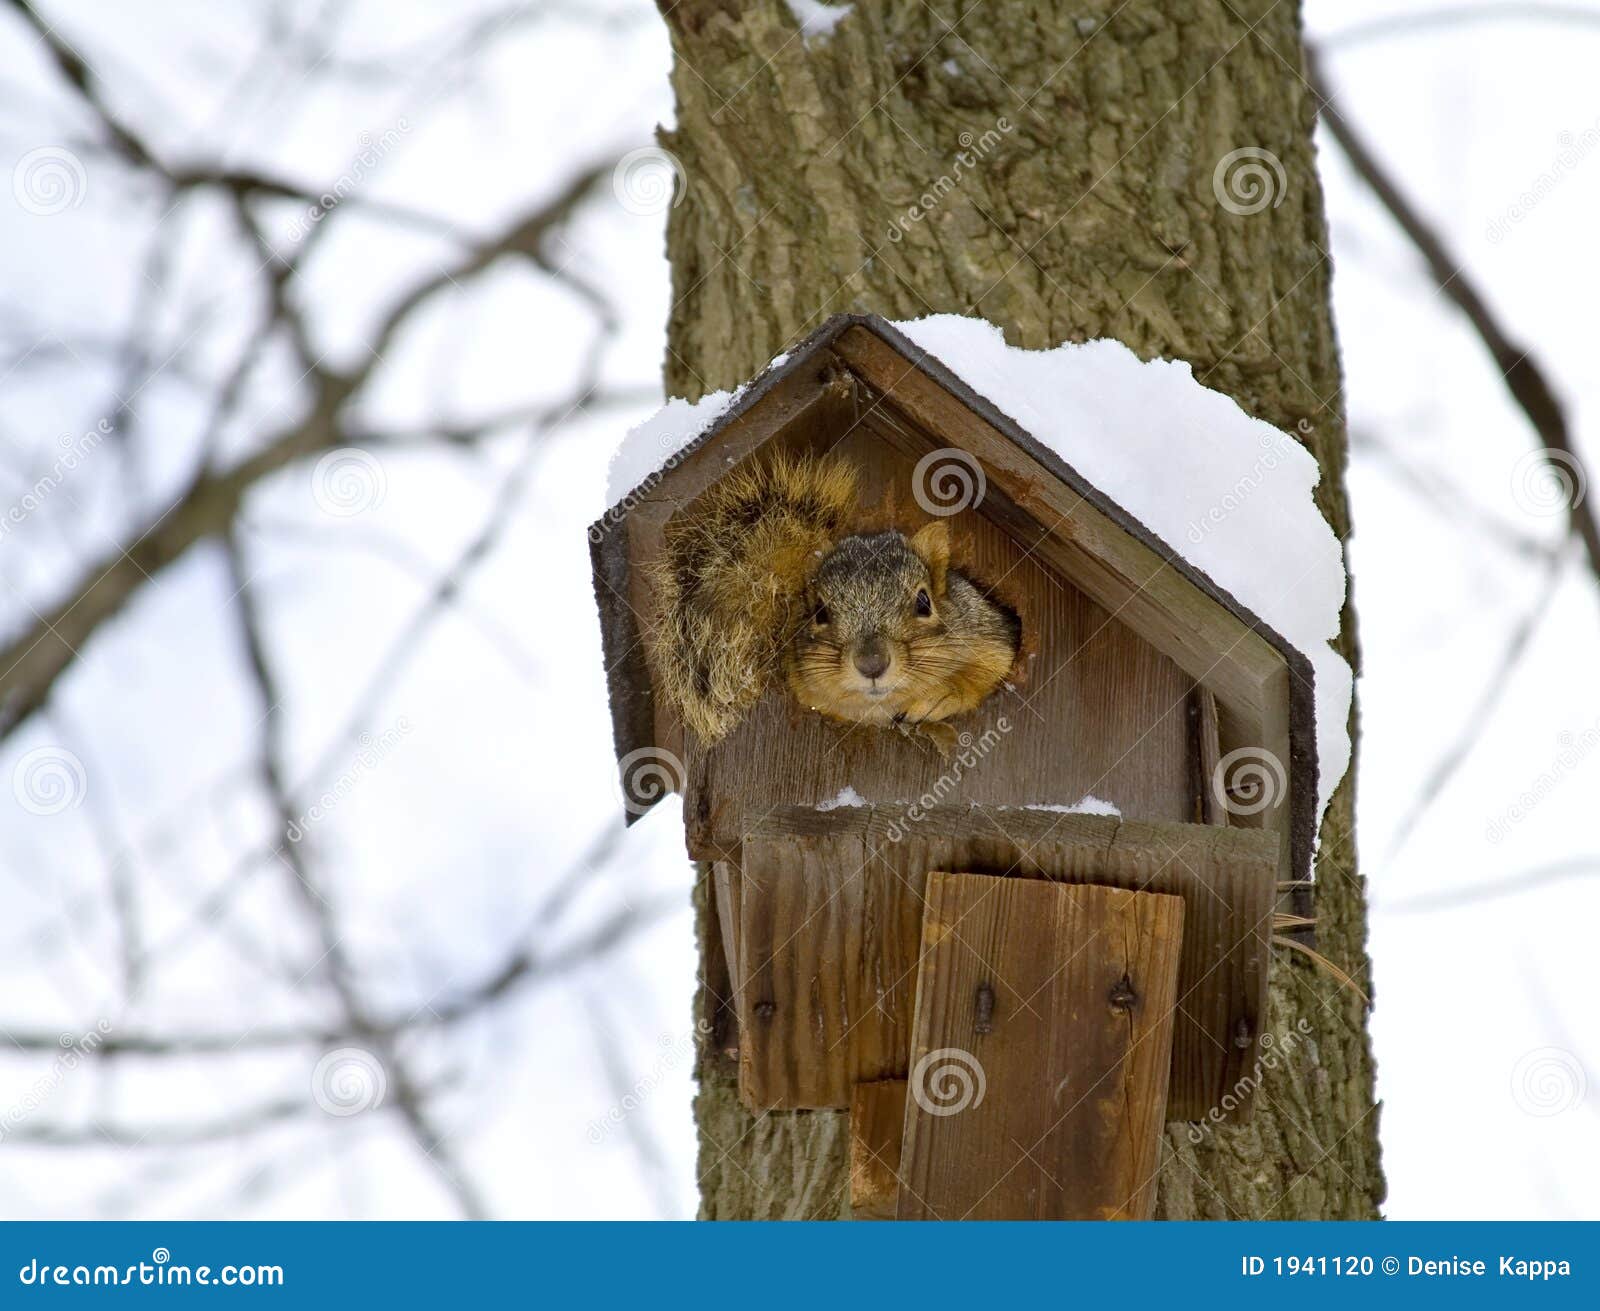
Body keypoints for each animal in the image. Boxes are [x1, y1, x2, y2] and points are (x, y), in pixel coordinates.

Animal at [643, 448, 1017, 749]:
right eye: (819, 612)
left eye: (924, 602)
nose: (871, 663)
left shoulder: (990, 634)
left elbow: (990, 669)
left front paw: (940, 695)